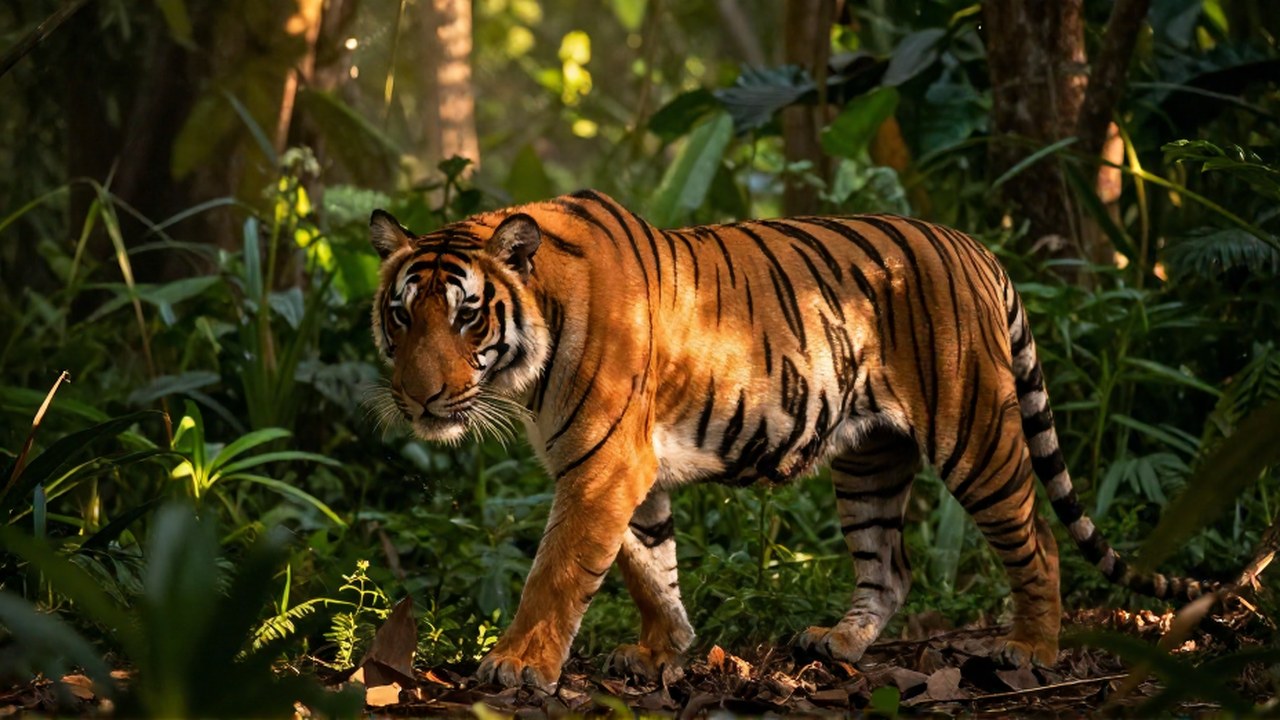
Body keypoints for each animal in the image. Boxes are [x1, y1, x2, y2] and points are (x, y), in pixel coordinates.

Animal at [366, 189, 1215, 691]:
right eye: (402, 314)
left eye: (467, 315)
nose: (418, 397)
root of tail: (974, 247)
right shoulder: (620, 468)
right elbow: (644, 565)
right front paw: (664, 647)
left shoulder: (605, 463)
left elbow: (561, 570)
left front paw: (518, 665)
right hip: (871, 460)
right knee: (890, 567)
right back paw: (839, 643)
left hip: (977, 432)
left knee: (1036, 540)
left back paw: (1032, 649)